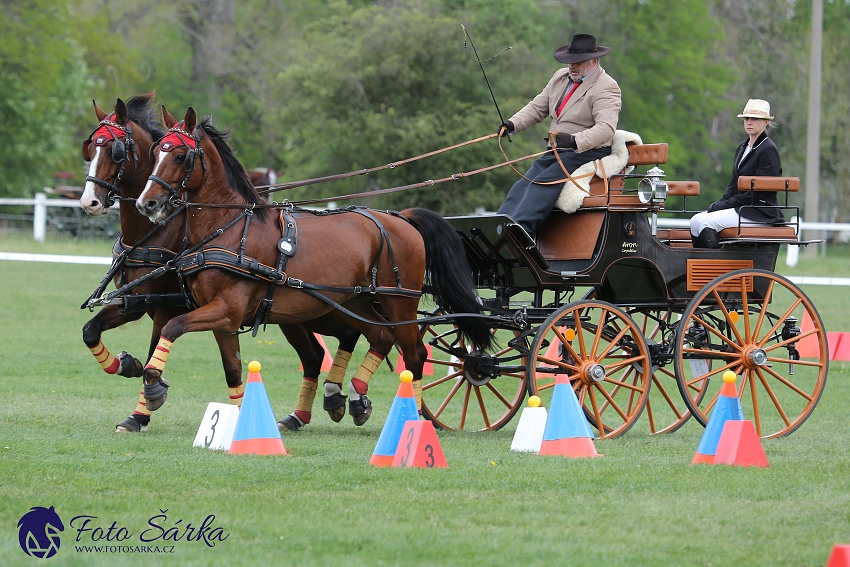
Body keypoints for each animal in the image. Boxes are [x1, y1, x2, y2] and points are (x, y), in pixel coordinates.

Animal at [79, 95, 368, 432]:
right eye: (90, 148)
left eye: (115, 151)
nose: (89, 202)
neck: (159, 231)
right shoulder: (136, 301)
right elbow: (90, 330)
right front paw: (128, 367)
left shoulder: (164, 307)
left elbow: (156, 350)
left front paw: (143, 407)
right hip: (293, 314)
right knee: (313, 356)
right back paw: (301, 415)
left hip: (321, 308)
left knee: (350, 335)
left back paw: (346, 399)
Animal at [136, 107, 494, 418]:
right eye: (155, 152)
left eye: (180, 156)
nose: (146, 203)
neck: (231, 228)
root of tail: (400, 218)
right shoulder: (223, 317)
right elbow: (233, 369)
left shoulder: (227, 309)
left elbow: (172, 325)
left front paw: (153, 383)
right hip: (356, 302)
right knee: (381, 338)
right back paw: (353, 394)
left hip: (399, 303)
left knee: (414, 354)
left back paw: (413, 418)